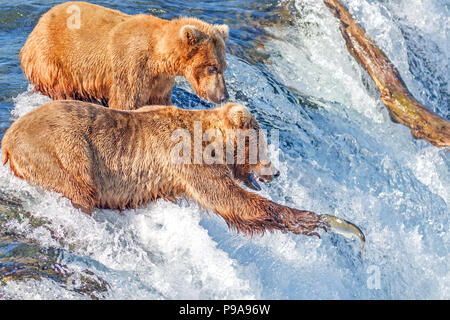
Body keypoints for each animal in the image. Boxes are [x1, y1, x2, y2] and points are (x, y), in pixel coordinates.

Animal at [0, 101, 324, 236]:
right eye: (264, 145)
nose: (276, 172)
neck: (212, 141)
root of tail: (8, 138)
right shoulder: (188, 156)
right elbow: (226, 197)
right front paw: (308, 219)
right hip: (62, 149)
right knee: (78, 188)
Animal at [18, 1, 229, 109]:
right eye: (212, 67)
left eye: (223, 67)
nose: (223, 96)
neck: (158, 58)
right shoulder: (132, 68)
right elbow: (126, 102)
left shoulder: (159, 82)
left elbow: (159, 100)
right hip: (53, 60)